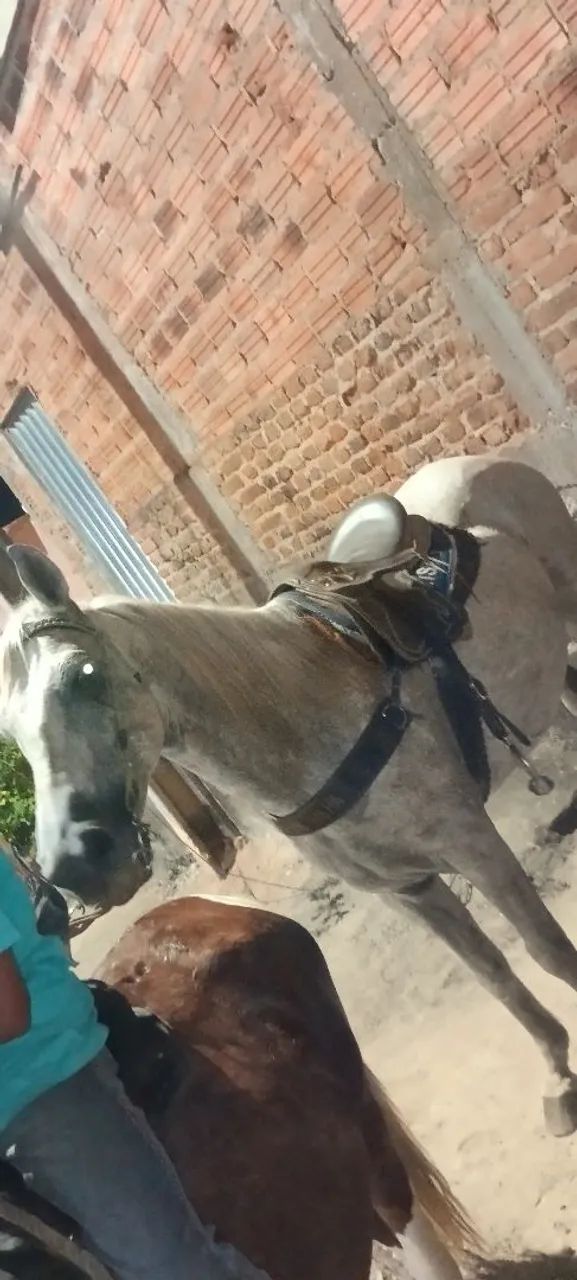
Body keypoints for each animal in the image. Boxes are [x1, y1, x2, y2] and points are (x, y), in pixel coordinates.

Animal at [2, 453, 577, 1134]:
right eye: (10, 730)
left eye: (82, 675)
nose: (76, 865)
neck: (304, 723)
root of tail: (476, 463)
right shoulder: (410, 888)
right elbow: (496, 975)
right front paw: (558, 1073)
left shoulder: (474, 847)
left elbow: (546, 951)